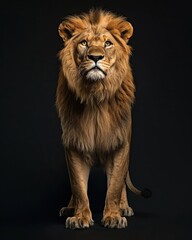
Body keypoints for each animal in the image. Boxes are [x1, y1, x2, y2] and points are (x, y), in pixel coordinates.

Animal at [55, 8, 150, 229]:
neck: (95, 96)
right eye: (84, 43)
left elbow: (115, 185)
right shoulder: (73, 143)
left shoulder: (120, 144)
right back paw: (69, 208)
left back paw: (124, 207)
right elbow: (78, 186)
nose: (96, 57)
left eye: (108, 43)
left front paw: (114, 216)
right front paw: (80, 217)